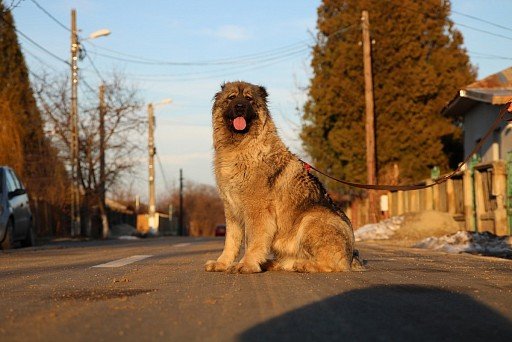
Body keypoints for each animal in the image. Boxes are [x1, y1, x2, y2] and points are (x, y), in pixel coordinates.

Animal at [203, 81, 360, 272]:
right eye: (232, 97)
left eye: (249, 99)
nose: (240, 106)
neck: (241, 148)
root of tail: (351, 256)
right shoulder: (232, 211)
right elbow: (231, 242)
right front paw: (222, 263)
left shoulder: (256, 211)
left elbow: (252, 241)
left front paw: (246, 264)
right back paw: (273, 263)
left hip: (311, 219)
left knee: (332, 265)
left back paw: (304, 265)